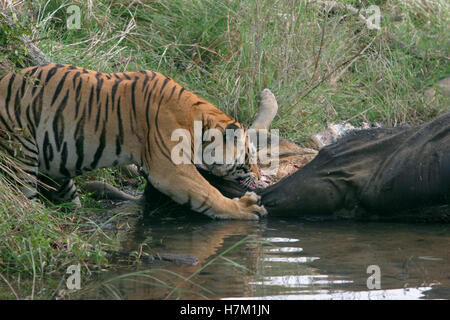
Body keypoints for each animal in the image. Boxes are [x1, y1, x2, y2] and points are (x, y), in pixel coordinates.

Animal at [0, 62, 268, 220]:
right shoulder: (172, 170)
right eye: (250, 158)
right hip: (21, 150)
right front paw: (245, 209)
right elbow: (208, 193)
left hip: (58, 167)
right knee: (23, 195)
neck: (199, 121)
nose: (261, 177)